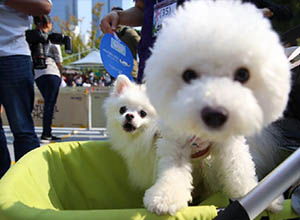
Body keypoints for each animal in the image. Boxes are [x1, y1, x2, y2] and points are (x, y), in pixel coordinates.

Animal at [143, 0, 290, 216]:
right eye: (189, 75)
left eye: (243, 74)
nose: (215, 115)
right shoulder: (175, 142)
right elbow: (172, 170)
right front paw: (164, 197)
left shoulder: (231, 144)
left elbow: (241, 169)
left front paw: (262, 196)